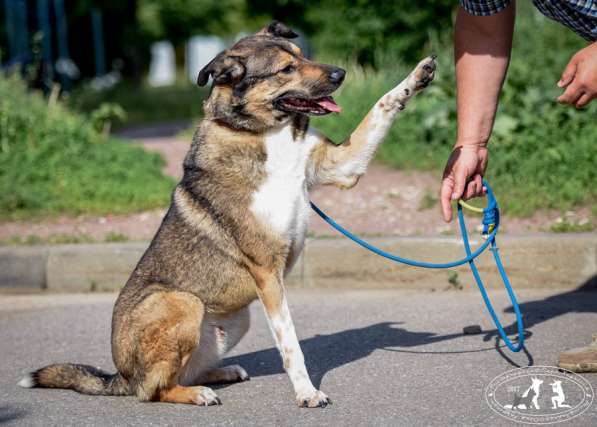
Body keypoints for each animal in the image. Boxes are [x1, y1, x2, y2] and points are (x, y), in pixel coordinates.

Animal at [17, 22, 434, 408]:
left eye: (302, 55)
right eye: (286, 69)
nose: (340, 74)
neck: (264, 135)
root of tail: (119, 376)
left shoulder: (342, 166)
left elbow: (382, 105)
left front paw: (419, 74)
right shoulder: (267, 272)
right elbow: (290, 345)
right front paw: (306, 393)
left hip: (236, 319)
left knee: (180, 372)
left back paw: (223, 372)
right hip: (182, 302)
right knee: (151, 390)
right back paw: (197, 394)